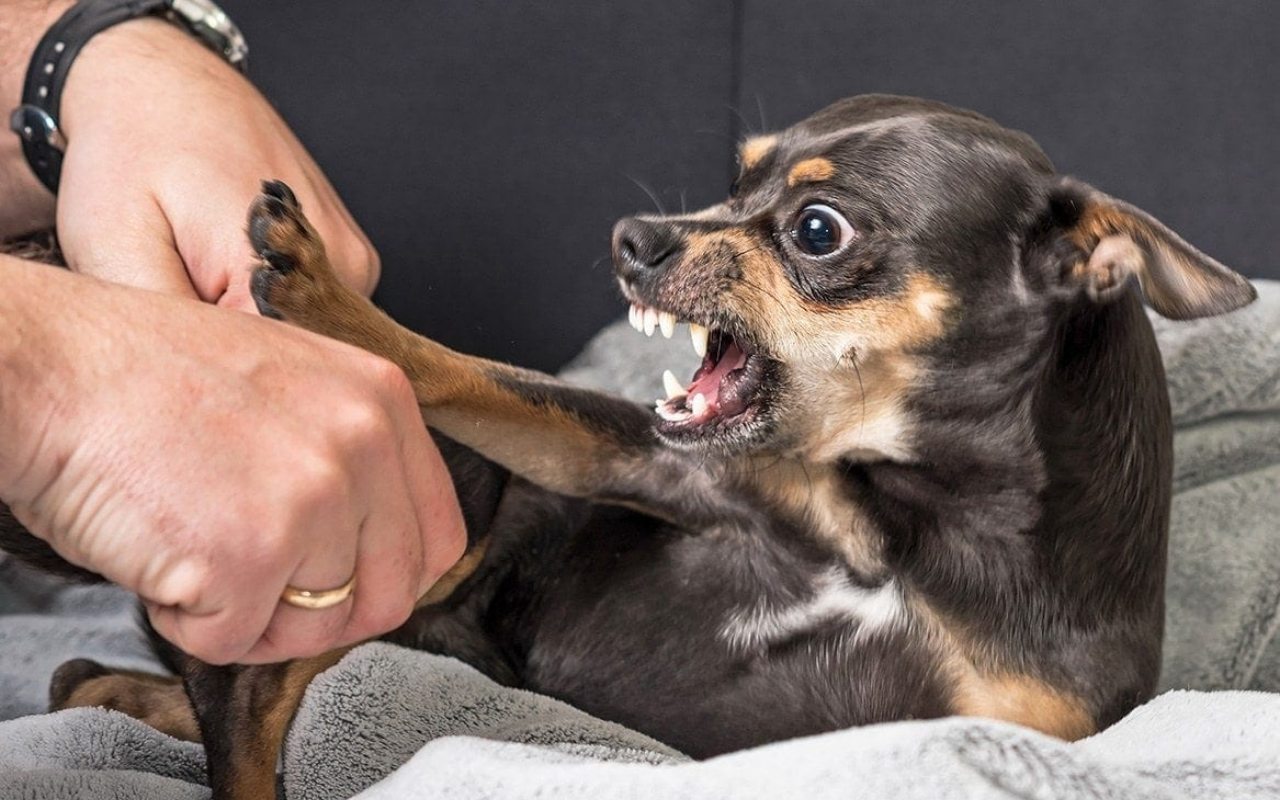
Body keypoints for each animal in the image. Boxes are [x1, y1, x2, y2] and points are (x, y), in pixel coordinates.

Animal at [0, 95, 1254, 798]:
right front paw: (322, 296)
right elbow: (464, 369)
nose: (633, 236)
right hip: (453, 518)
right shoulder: (641, 462)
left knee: (220, 701)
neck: (900, 525)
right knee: (246, 705)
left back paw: (107, 684)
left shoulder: (997, 725)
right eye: (734, 177)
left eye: (815, 228)